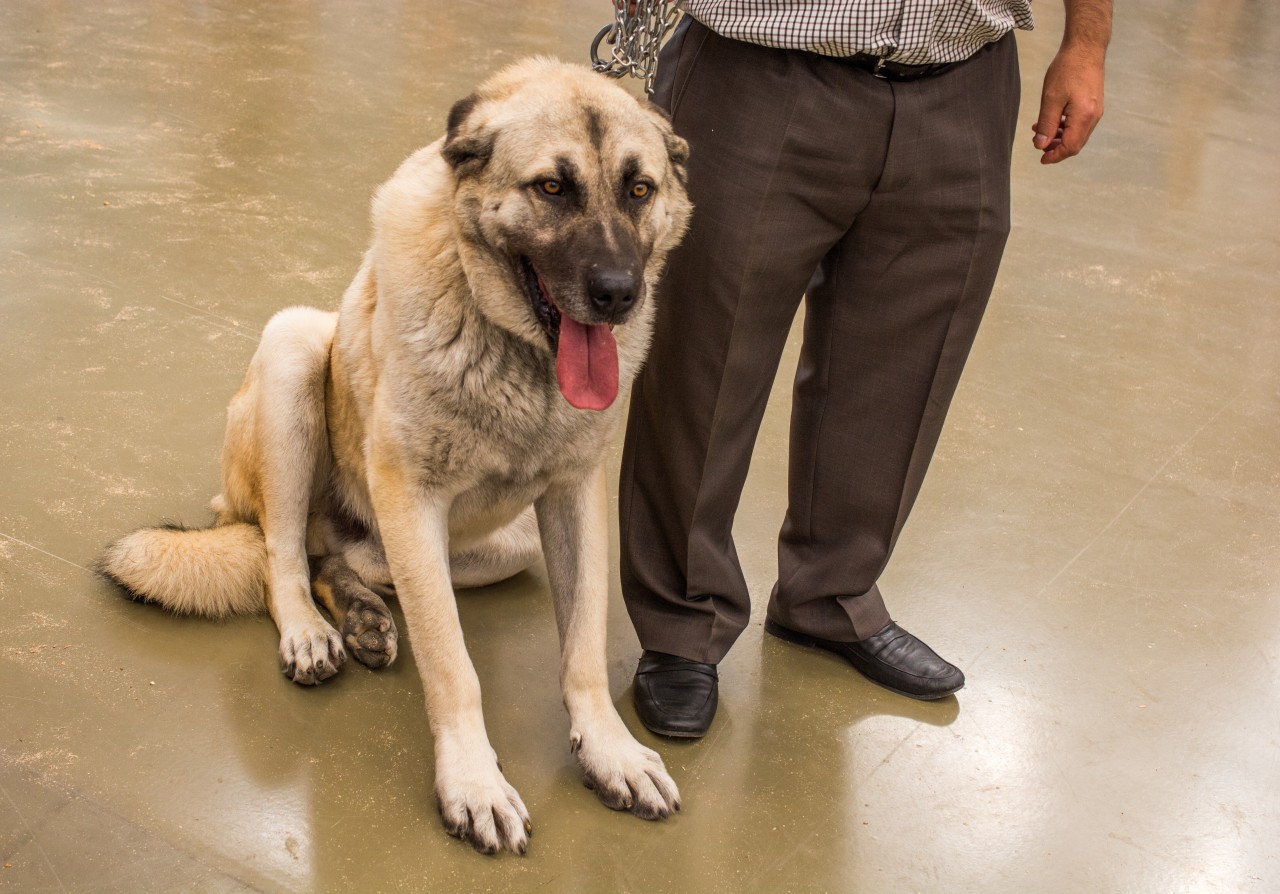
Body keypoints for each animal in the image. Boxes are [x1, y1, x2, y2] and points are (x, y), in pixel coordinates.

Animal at [96, 59, 696, 855]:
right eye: (551, 188)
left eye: (639, 189)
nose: (618, 295)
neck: (516, 353)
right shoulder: (413, 499)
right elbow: (451, 662)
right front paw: (473, 783)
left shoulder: (572, 498)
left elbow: (584, 648)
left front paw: (608, 749)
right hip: (294, 347)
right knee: (280, 557)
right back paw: (312, 631)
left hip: (498, 544)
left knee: (335, 559)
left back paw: (363, 615)